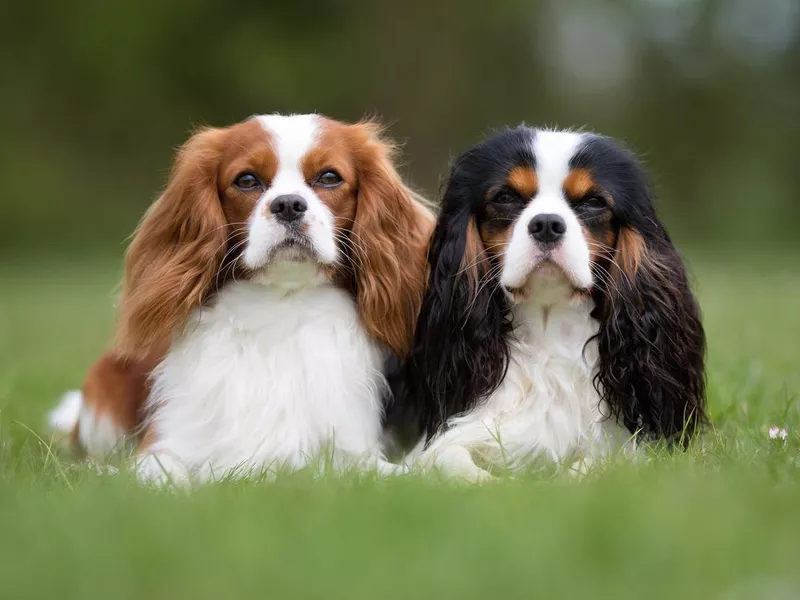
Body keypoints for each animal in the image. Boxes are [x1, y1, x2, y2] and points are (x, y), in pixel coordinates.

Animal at [47, 115, 434, 486]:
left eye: (329, 177)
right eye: (247, 180)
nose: (289, 205)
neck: (281, 306)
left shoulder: (352, 452)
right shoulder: (164, 445)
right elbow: (158, 476)